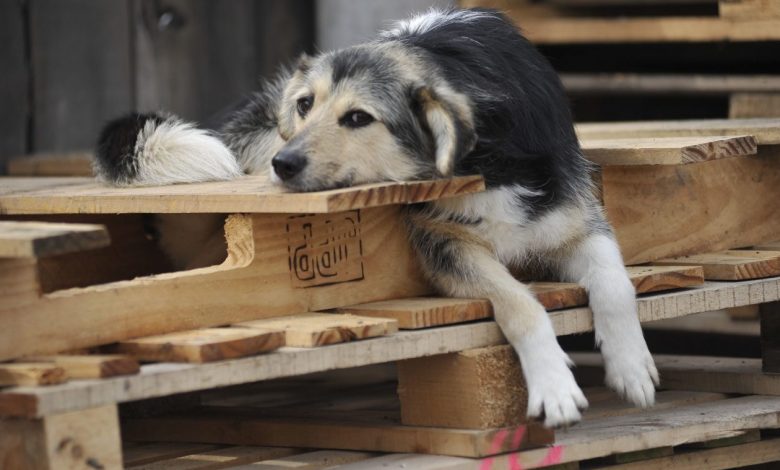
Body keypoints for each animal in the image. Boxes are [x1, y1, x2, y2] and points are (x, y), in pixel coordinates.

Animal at [94, 7, 660, 428]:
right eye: (306, 105)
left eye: (358, 118)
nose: (284, 164)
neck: (485, 156)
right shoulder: (444, 245)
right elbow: (522, 305)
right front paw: (554, 385)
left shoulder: (577, 220)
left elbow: (616, 285)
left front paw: (631, 366)